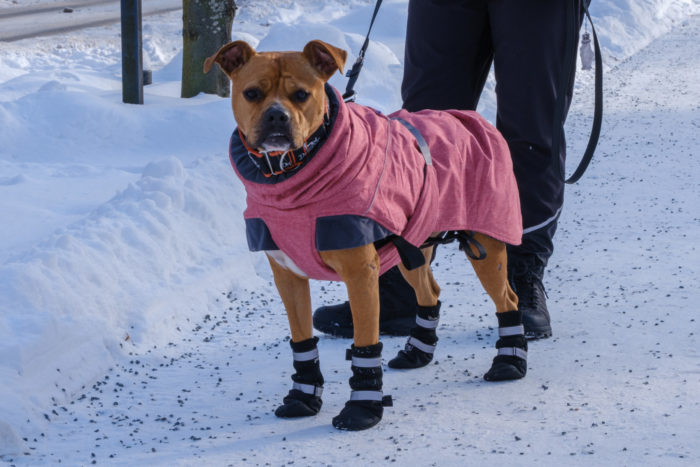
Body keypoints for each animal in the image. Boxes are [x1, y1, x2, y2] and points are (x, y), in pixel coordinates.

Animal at [205, 39, 528, 432]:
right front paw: (302, 396)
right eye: (252, 93)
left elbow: (365, 344)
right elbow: (301, 340)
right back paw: (417, 351)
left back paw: (510, 360)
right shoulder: (288, 276)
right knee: (430, 292)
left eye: (301, 94)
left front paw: (363, 407)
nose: (277, 117)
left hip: (487, 243)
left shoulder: (360, 274)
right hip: (413, 248)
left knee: (508, 299)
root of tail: (470, 117)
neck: (291, 173)